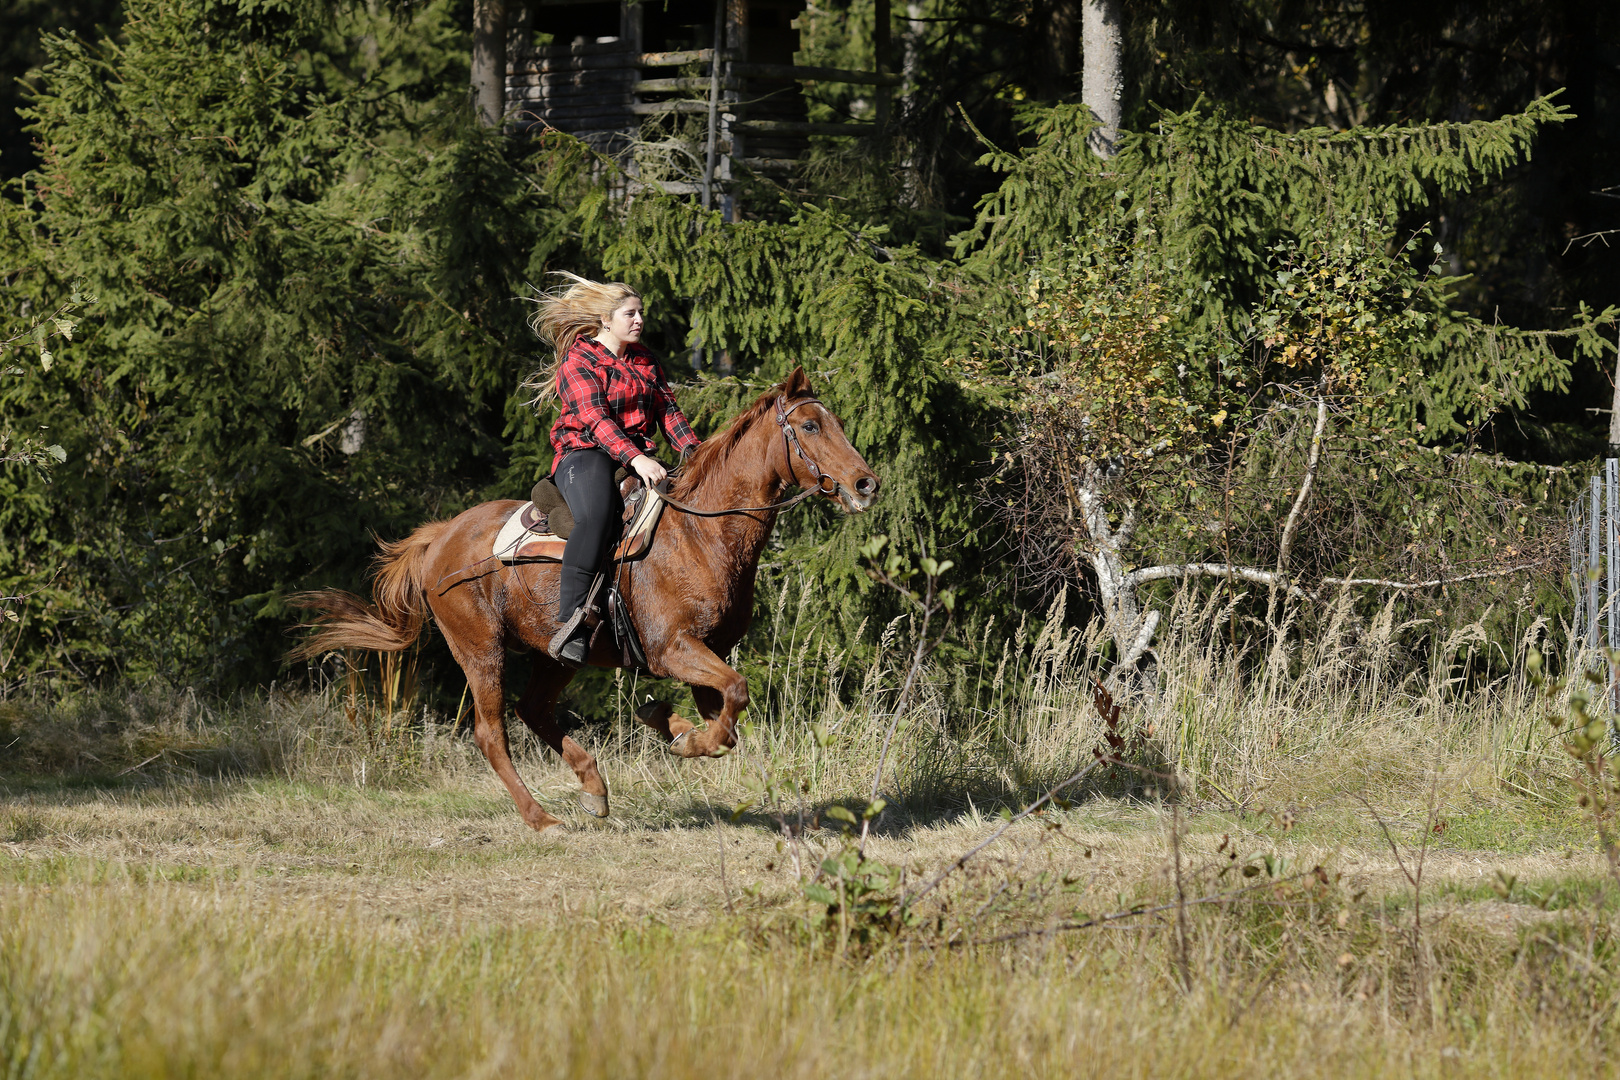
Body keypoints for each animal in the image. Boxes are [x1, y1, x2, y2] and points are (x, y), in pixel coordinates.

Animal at [285, 367, 881, 835]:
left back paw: (594, 786)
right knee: (492, 732)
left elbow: (726, 720)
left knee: (533, 710)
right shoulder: (673, 649)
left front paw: (669, 724)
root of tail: (440, 538)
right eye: (810, 426)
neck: (701, 533)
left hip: (557, 656)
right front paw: (678, 736)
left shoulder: (705, 652)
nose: (865, 484)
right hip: (480, 650)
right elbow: (733, 695)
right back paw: (542, 819)